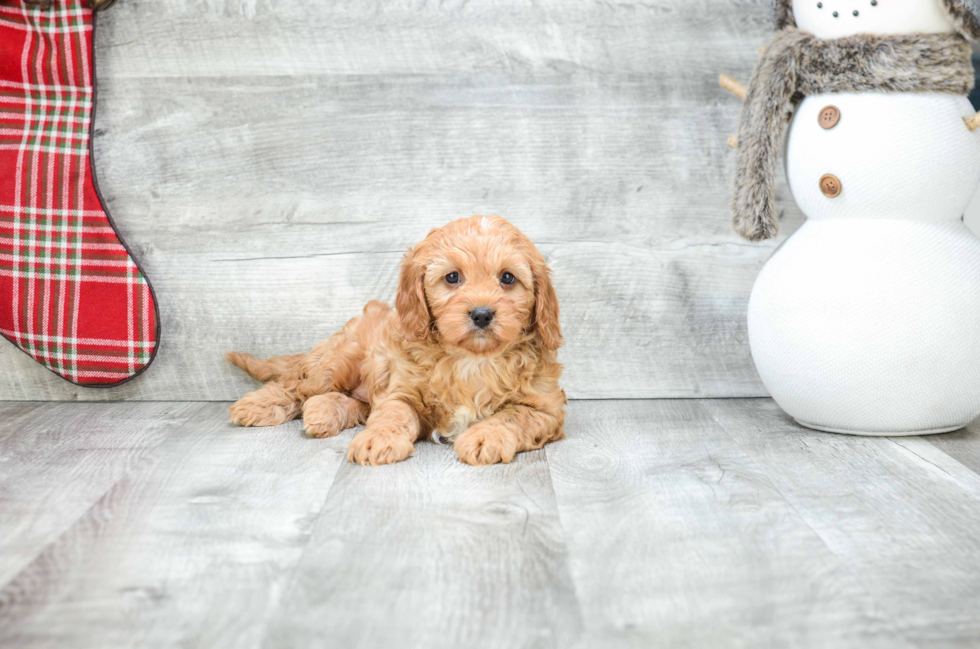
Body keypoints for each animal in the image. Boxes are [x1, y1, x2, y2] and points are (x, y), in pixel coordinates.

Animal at [226, 215, 568, 464]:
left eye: (508, 278)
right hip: (336, 363)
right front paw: (379, 439)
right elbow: (392, 414)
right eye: (452, 277)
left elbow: (513, 416)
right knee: (296, 386)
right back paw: (258, 405)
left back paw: (322, 413)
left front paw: (486, 437)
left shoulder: (546, 410)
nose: (482, 314)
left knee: (351, 403)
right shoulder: (400, 391)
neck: (472, 359)